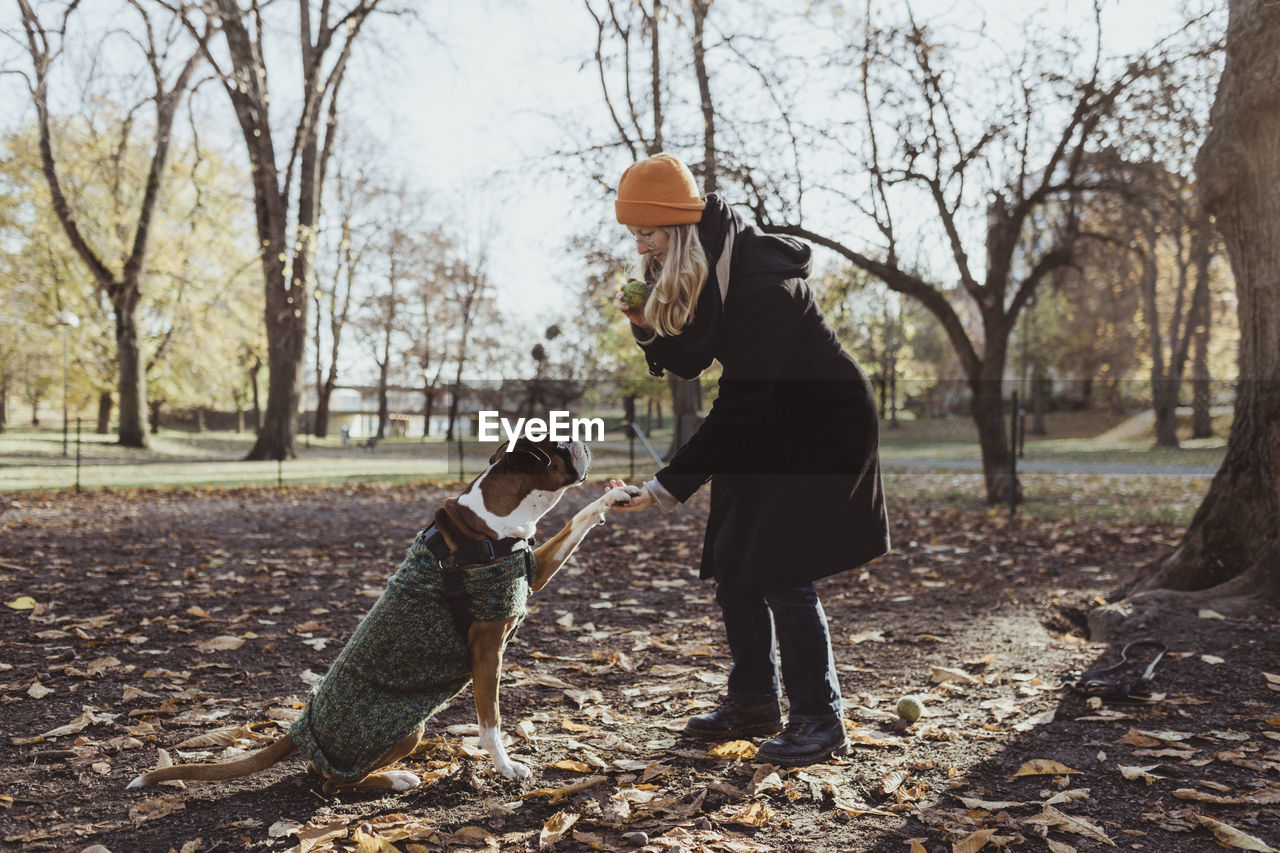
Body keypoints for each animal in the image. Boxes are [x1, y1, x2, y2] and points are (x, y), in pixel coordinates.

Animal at [127, 438, 637, 788]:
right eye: (560, 442)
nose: (586, 439)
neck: (491, 523)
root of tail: (301, 728)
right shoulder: (486, 650)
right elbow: (490, 722)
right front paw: (506, 766)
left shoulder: (531, 571)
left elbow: (577, 521)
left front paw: (614, 497)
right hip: (404, 731)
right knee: (331, 781)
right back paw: (395, 779)